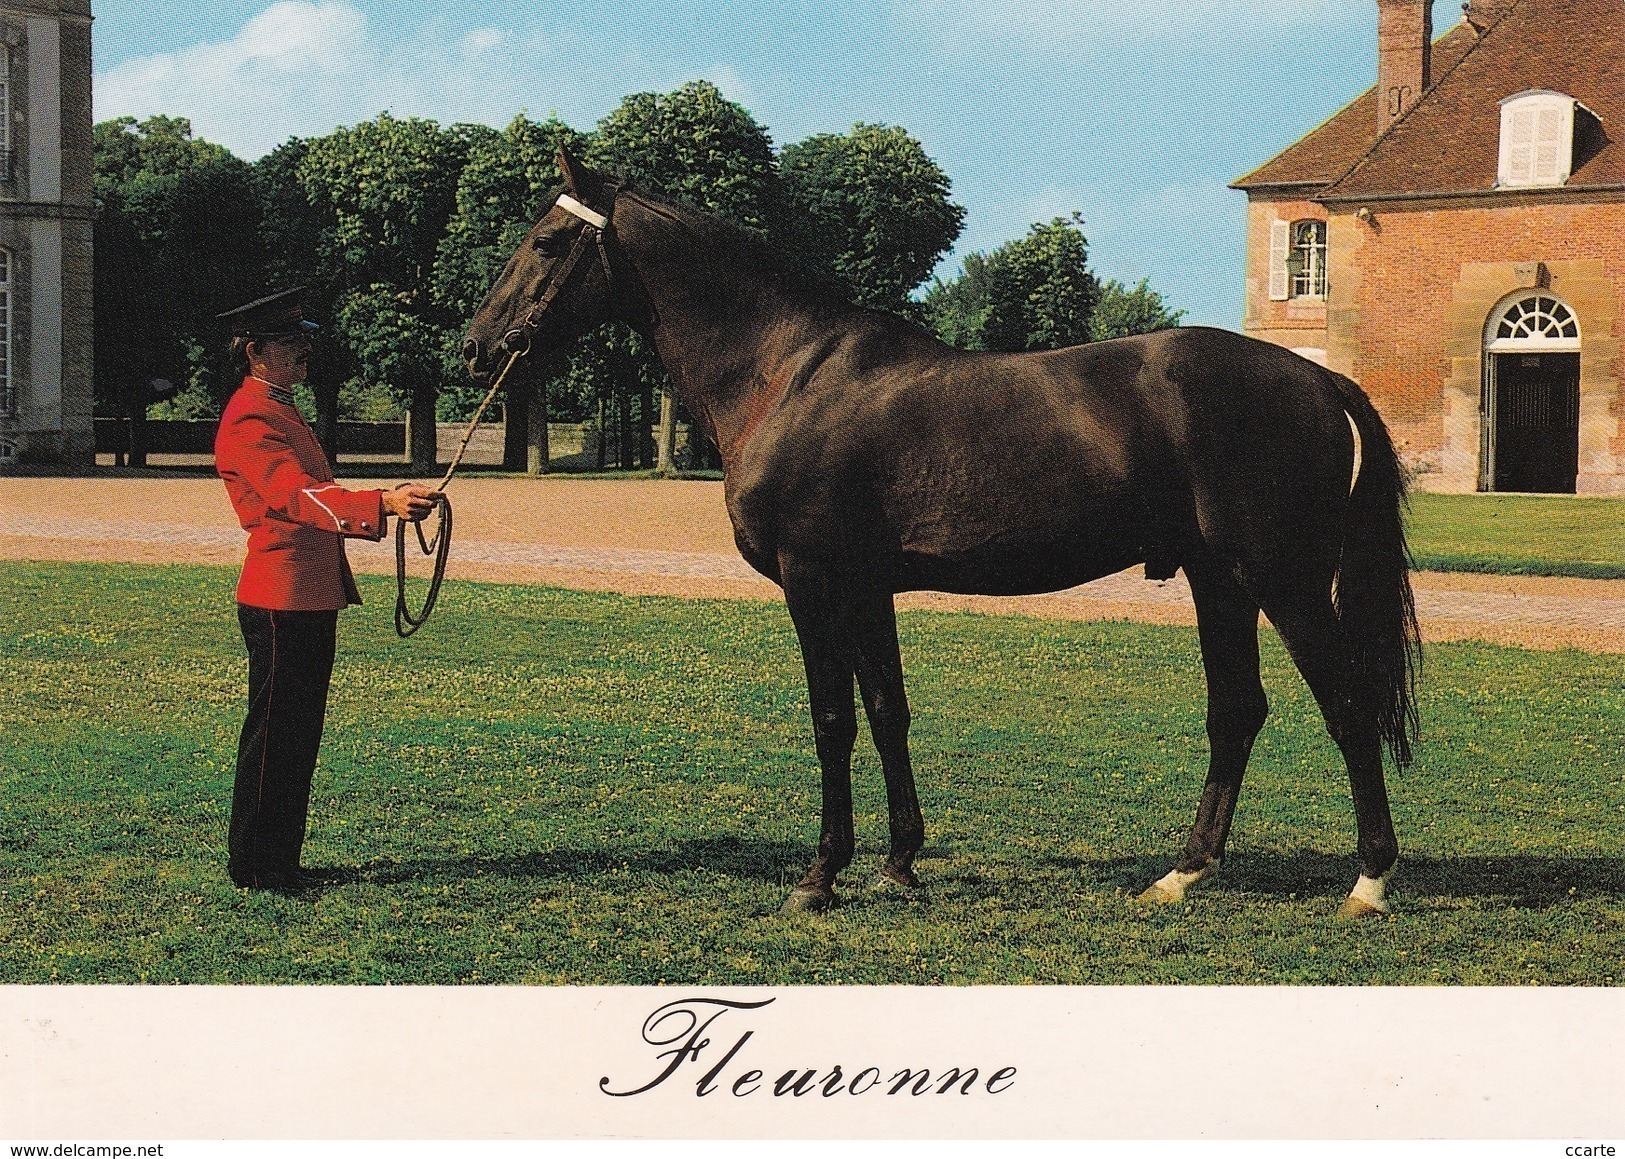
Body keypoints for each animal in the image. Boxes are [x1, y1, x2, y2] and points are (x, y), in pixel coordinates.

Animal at [461, 149, 1423, 916]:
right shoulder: (865, 587)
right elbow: (888, 710)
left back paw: (1368, 881)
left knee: (1345, 706)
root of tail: (1318, 379)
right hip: (1218, 580)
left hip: (1283, 582)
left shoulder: (813, 582)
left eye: (545, 241)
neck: (787, 374)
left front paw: (819, 877)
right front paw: (899, 865)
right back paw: (1181, 873)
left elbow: (831, 720)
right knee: (1236, 712)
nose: (476, 347)